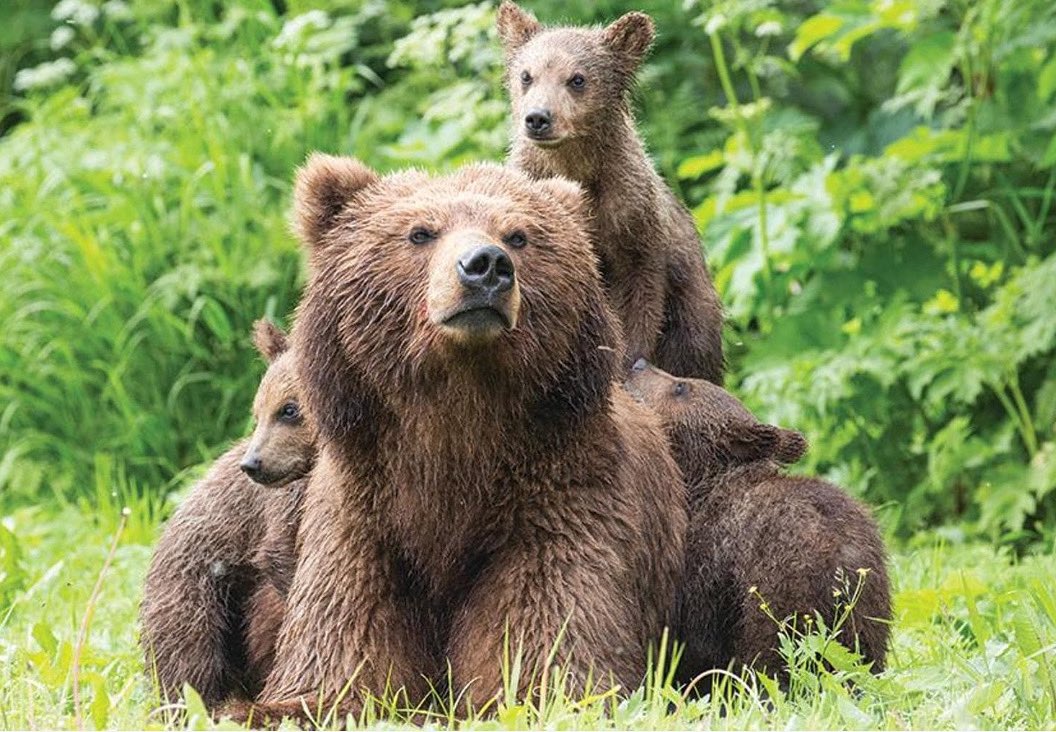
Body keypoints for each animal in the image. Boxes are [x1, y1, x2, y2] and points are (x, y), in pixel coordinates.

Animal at [140, 320, 313, 708]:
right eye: (258, 411)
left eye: (288, 409)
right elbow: (283, 555)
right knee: (188, 654)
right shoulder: (281, 506)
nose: (253, 463)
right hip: (195, 589)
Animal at [225, 155, 688, 725]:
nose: (484, 265)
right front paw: (260, 706)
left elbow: (545, 636)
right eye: (420, 231)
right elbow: (344, 651)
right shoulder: (364, 515)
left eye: (518, 235)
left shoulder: (556, 498)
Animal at [498, 2, 725, 384]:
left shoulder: (632, 219)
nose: (538, 118)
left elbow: (638, 295)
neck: (574, 166)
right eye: (526, 76)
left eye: (577, 78)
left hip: (695, 309)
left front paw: (625, 361)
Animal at [624, 360, 891, 686]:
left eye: (681, 386)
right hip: (869, 603)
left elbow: (698, 641)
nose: (638, 363)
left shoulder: (709, 566)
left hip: (781, 586)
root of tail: (840, 556)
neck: (700, 483)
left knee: (773, 652)